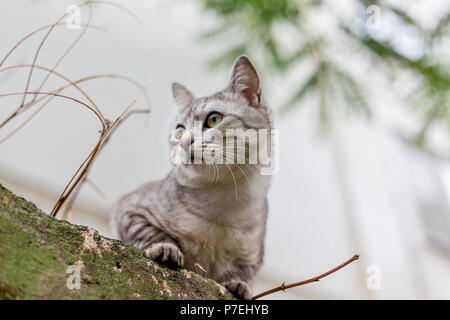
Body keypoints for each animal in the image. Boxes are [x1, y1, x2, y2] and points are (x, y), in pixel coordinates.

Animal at [112, 55, 274, 300]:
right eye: (179, 130)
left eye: (214, 119)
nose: (184, 141)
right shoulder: (129, 210)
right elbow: (149, 232)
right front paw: (166, 248)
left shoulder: (253, 258)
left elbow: (243, 273)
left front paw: (238, 284)